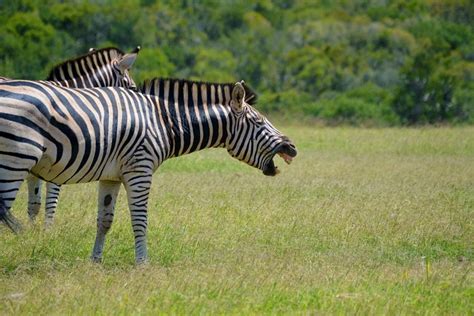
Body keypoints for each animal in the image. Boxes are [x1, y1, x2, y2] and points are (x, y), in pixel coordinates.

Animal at [0, 79, 296, 264]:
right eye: (259, 122)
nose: (292, 147)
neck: (164, 122)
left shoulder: (110, 176)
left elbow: (104, 221)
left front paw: (95, 261)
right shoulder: (140, 170)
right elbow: (140, 221)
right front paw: (142, 263)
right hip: (16, 158)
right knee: (3, 209)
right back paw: (25, 239)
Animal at [1, 45, 140, 226]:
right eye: (133, 88)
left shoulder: (34, 168)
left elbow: (35, 203)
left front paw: (32, 231)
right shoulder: (55, 162)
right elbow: (51, 202)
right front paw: (47, 230)